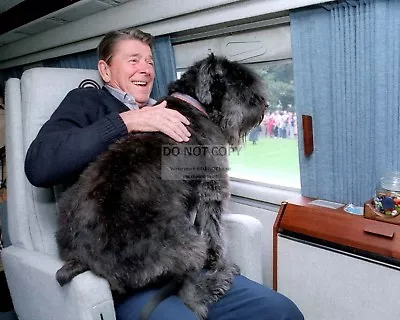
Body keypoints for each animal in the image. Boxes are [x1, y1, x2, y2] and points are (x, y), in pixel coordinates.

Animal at [55, 54, 266, 318]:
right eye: (236, 81)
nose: (263, 104)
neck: (193, 104)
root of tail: (85, 259)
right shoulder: (212, 186)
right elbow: (214, 232)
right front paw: (219, 263)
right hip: (187, 244)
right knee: (190, 294)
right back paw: (219, 280)